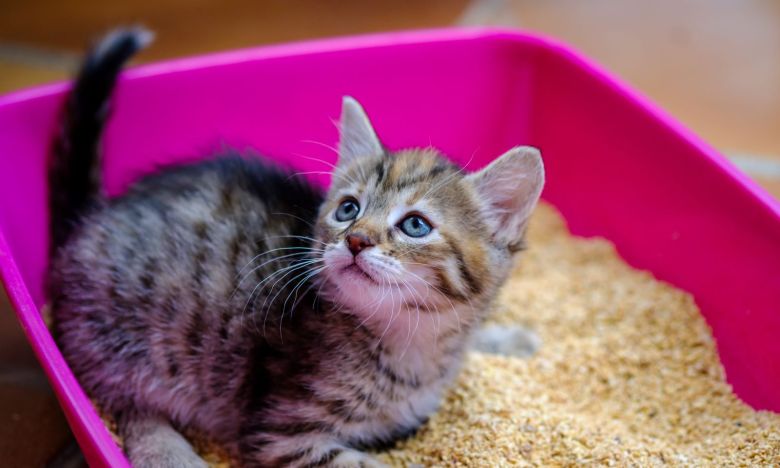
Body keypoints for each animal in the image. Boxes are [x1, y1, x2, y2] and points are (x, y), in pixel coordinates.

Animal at [48, 30, 544, 468]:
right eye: (348, 209)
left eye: (415, 225)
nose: (356, 239)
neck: (413, 342)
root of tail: (91, 220)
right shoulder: (282, 433)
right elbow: (360, 464)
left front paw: (510, 338)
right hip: (130, 341)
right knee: (125, 402)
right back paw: (169, 453)